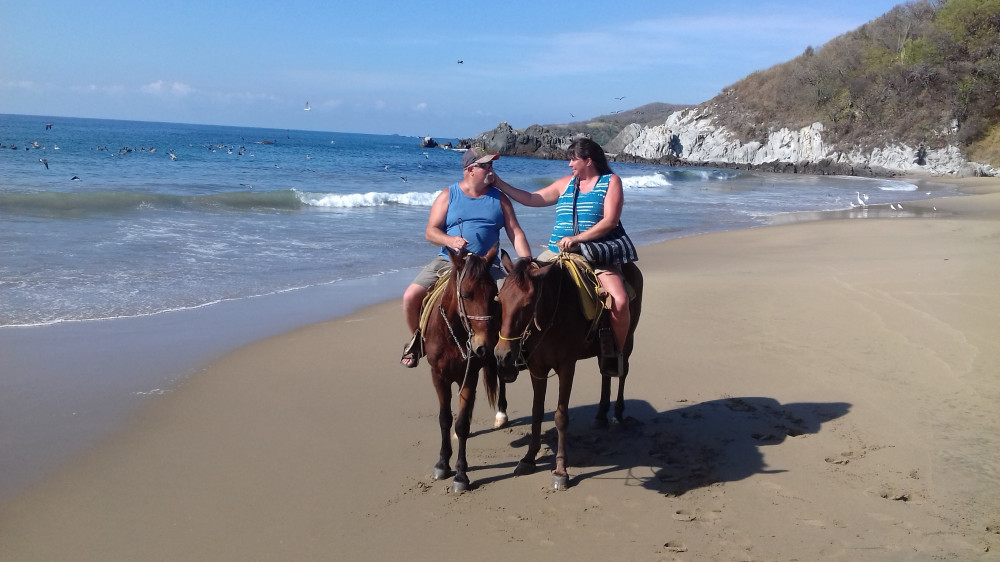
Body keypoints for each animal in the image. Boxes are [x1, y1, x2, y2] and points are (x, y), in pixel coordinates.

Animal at [422, 247, 500, 488]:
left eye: (494, 293)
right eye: (466, 294)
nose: (484, 346)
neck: (452, 334)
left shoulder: (470, 376)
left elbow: (462, 424)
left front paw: (461, 474)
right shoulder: (438, 376)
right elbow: (445, 419)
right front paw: (442, 463)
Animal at [492, 252, 640, 488]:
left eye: (527, 304)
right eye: (500, 299)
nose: (502, 354)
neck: (553, 313)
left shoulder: (566, 367)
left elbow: (561, 416)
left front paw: (561, 470)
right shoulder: (538, 369)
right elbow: (536, 412)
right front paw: (528, 458)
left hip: (627, 341)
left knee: (622, 372)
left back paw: (617, 413)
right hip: (603, 348)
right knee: (605, 374)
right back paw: (601, 415)